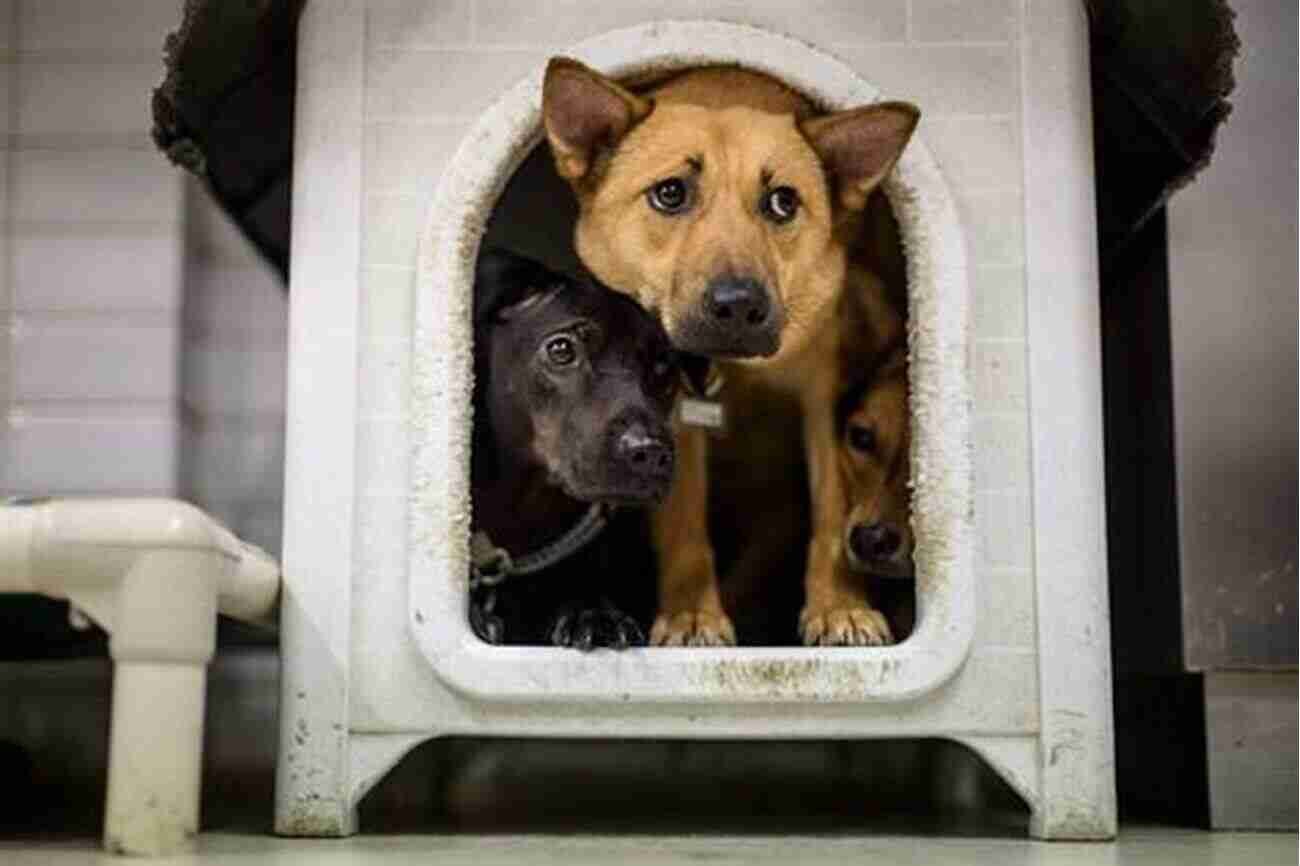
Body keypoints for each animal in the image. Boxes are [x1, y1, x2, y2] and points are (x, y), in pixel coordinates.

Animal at [543, 59, 920, 639]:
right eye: (670, 193)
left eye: (783, 202)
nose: (739, 305)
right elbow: (684, 522)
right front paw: (691, 615)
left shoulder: (823, 398)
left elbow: (831, 509)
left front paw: (839, 606)